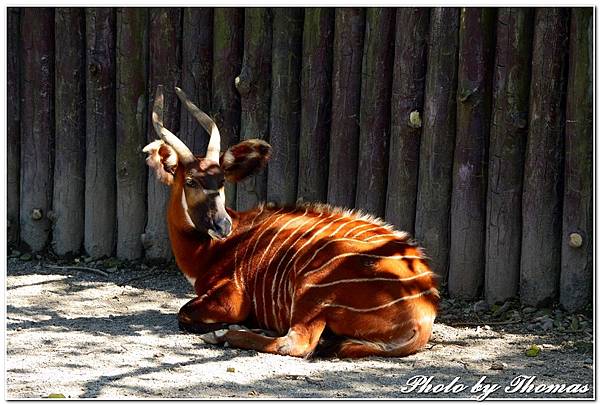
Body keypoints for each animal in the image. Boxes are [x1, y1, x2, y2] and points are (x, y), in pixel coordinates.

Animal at [144, 85, 438, 356]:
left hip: (313, 293)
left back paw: (225, 335)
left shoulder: (232, 298)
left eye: (222, 180)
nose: (222, 226)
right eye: (191, 181)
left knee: (297, 343)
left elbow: (183, 314)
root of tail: (423, 316)